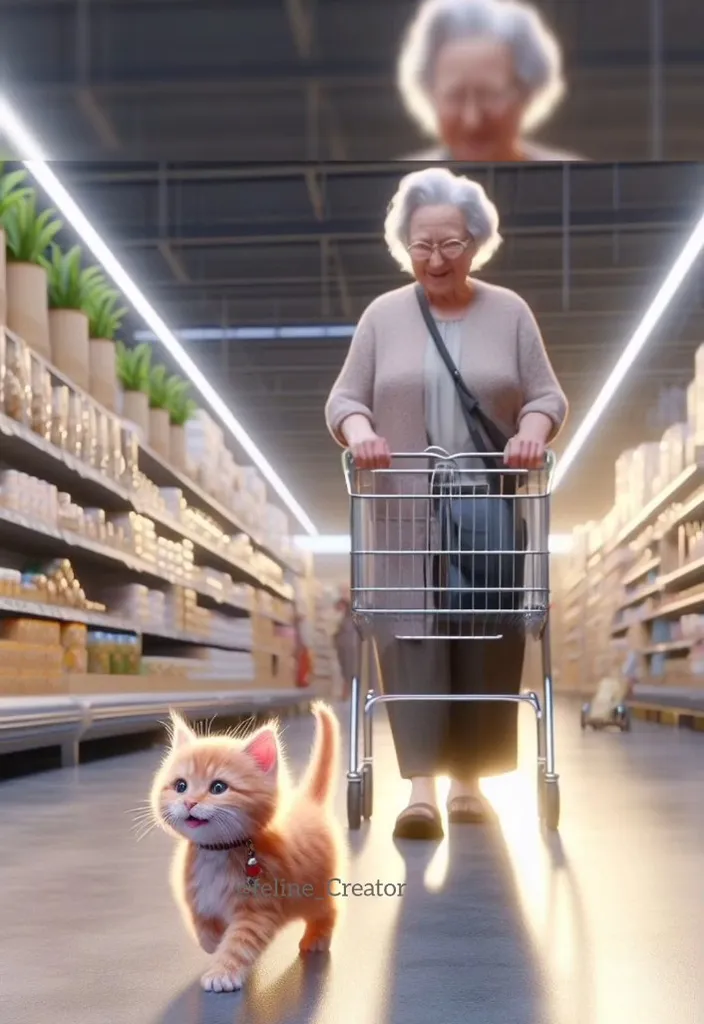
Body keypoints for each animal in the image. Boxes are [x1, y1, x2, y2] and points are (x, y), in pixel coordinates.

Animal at [151, 704, 343, 991]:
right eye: (180, 786)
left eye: (218, 787)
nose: (189, 802)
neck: (217, 852)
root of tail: (308, 803)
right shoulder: (197, 898)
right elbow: (203, 928)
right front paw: (214, 944)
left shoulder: (258, 909)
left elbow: (238, 943)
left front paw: (222, 972)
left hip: (314, 892)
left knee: (328, 910)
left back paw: (317, 938)